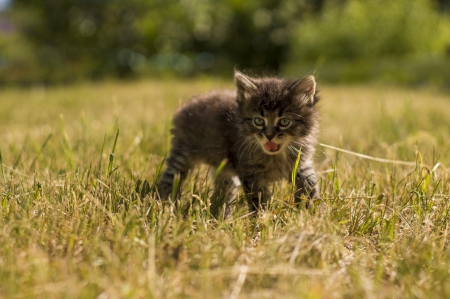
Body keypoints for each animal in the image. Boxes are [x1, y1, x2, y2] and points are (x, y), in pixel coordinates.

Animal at [158, 71, 320, 214]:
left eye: (284, 122)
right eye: (258, 121)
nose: (269, 136)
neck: (276, 156)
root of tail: (188, 105)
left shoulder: (301, 165)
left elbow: (310, 187)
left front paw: (314, 213)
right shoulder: (250, 174)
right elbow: (258, 201)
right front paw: (259, 220)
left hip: (224, 170)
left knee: (223, 193)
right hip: (182, 155)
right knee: (169, 179)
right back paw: (164, 204)